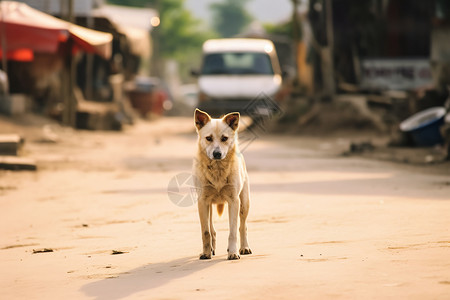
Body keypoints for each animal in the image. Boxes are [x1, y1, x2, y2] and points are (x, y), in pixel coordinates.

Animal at [192, 109, 251, 258]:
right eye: (208, 138)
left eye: (224, 138)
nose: (217, 153)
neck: (218, 170)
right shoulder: (202, 201)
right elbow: (205, 231)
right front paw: (205, 253)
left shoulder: (234, 201)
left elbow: (233, 231)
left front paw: (233, 252)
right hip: (209, 207)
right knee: (211, 229)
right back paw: (211, 250)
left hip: (244, 204)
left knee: (243, 226)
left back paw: (244, 247)